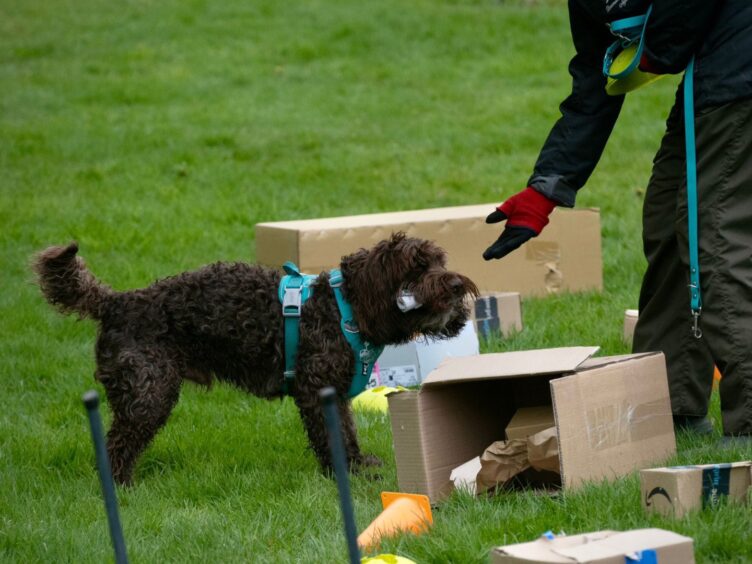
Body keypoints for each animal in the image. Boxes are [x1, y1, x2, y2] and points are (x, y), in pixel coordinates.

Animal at [33, 232, 476, 484]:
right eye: (417, 267)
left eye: (440, 261)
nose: (457, 284)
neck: (343, 308)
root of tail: (117, 303)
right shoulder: (316, 391)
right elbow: (330, 437)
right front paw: (343, 477)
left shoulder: (335, 394)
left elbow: (347, 433)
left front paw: (358, 467)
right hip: (147, 393)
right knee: (115, 444)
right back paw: (120, 487)